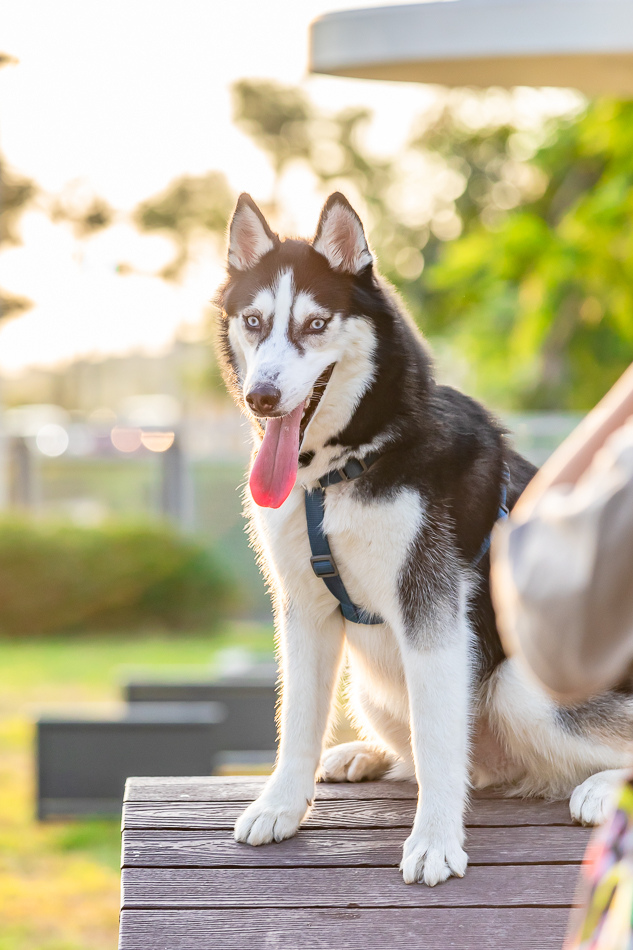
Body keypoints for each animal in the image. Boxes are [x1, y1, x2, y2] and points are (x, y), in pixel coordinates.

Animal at [215, 195, 628, 892]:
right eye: (254, 321)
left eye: (316, 323)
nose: (263, 397)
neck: (344, 466)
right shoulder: (304, 608)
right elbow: (296, 719)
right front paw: (281, 805)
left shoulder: (430, 606)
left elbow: (438, 746)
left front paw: (434, 841)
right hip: (371, 687)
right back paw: (365, 755)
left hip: (520, 686)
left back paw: (601, 788)